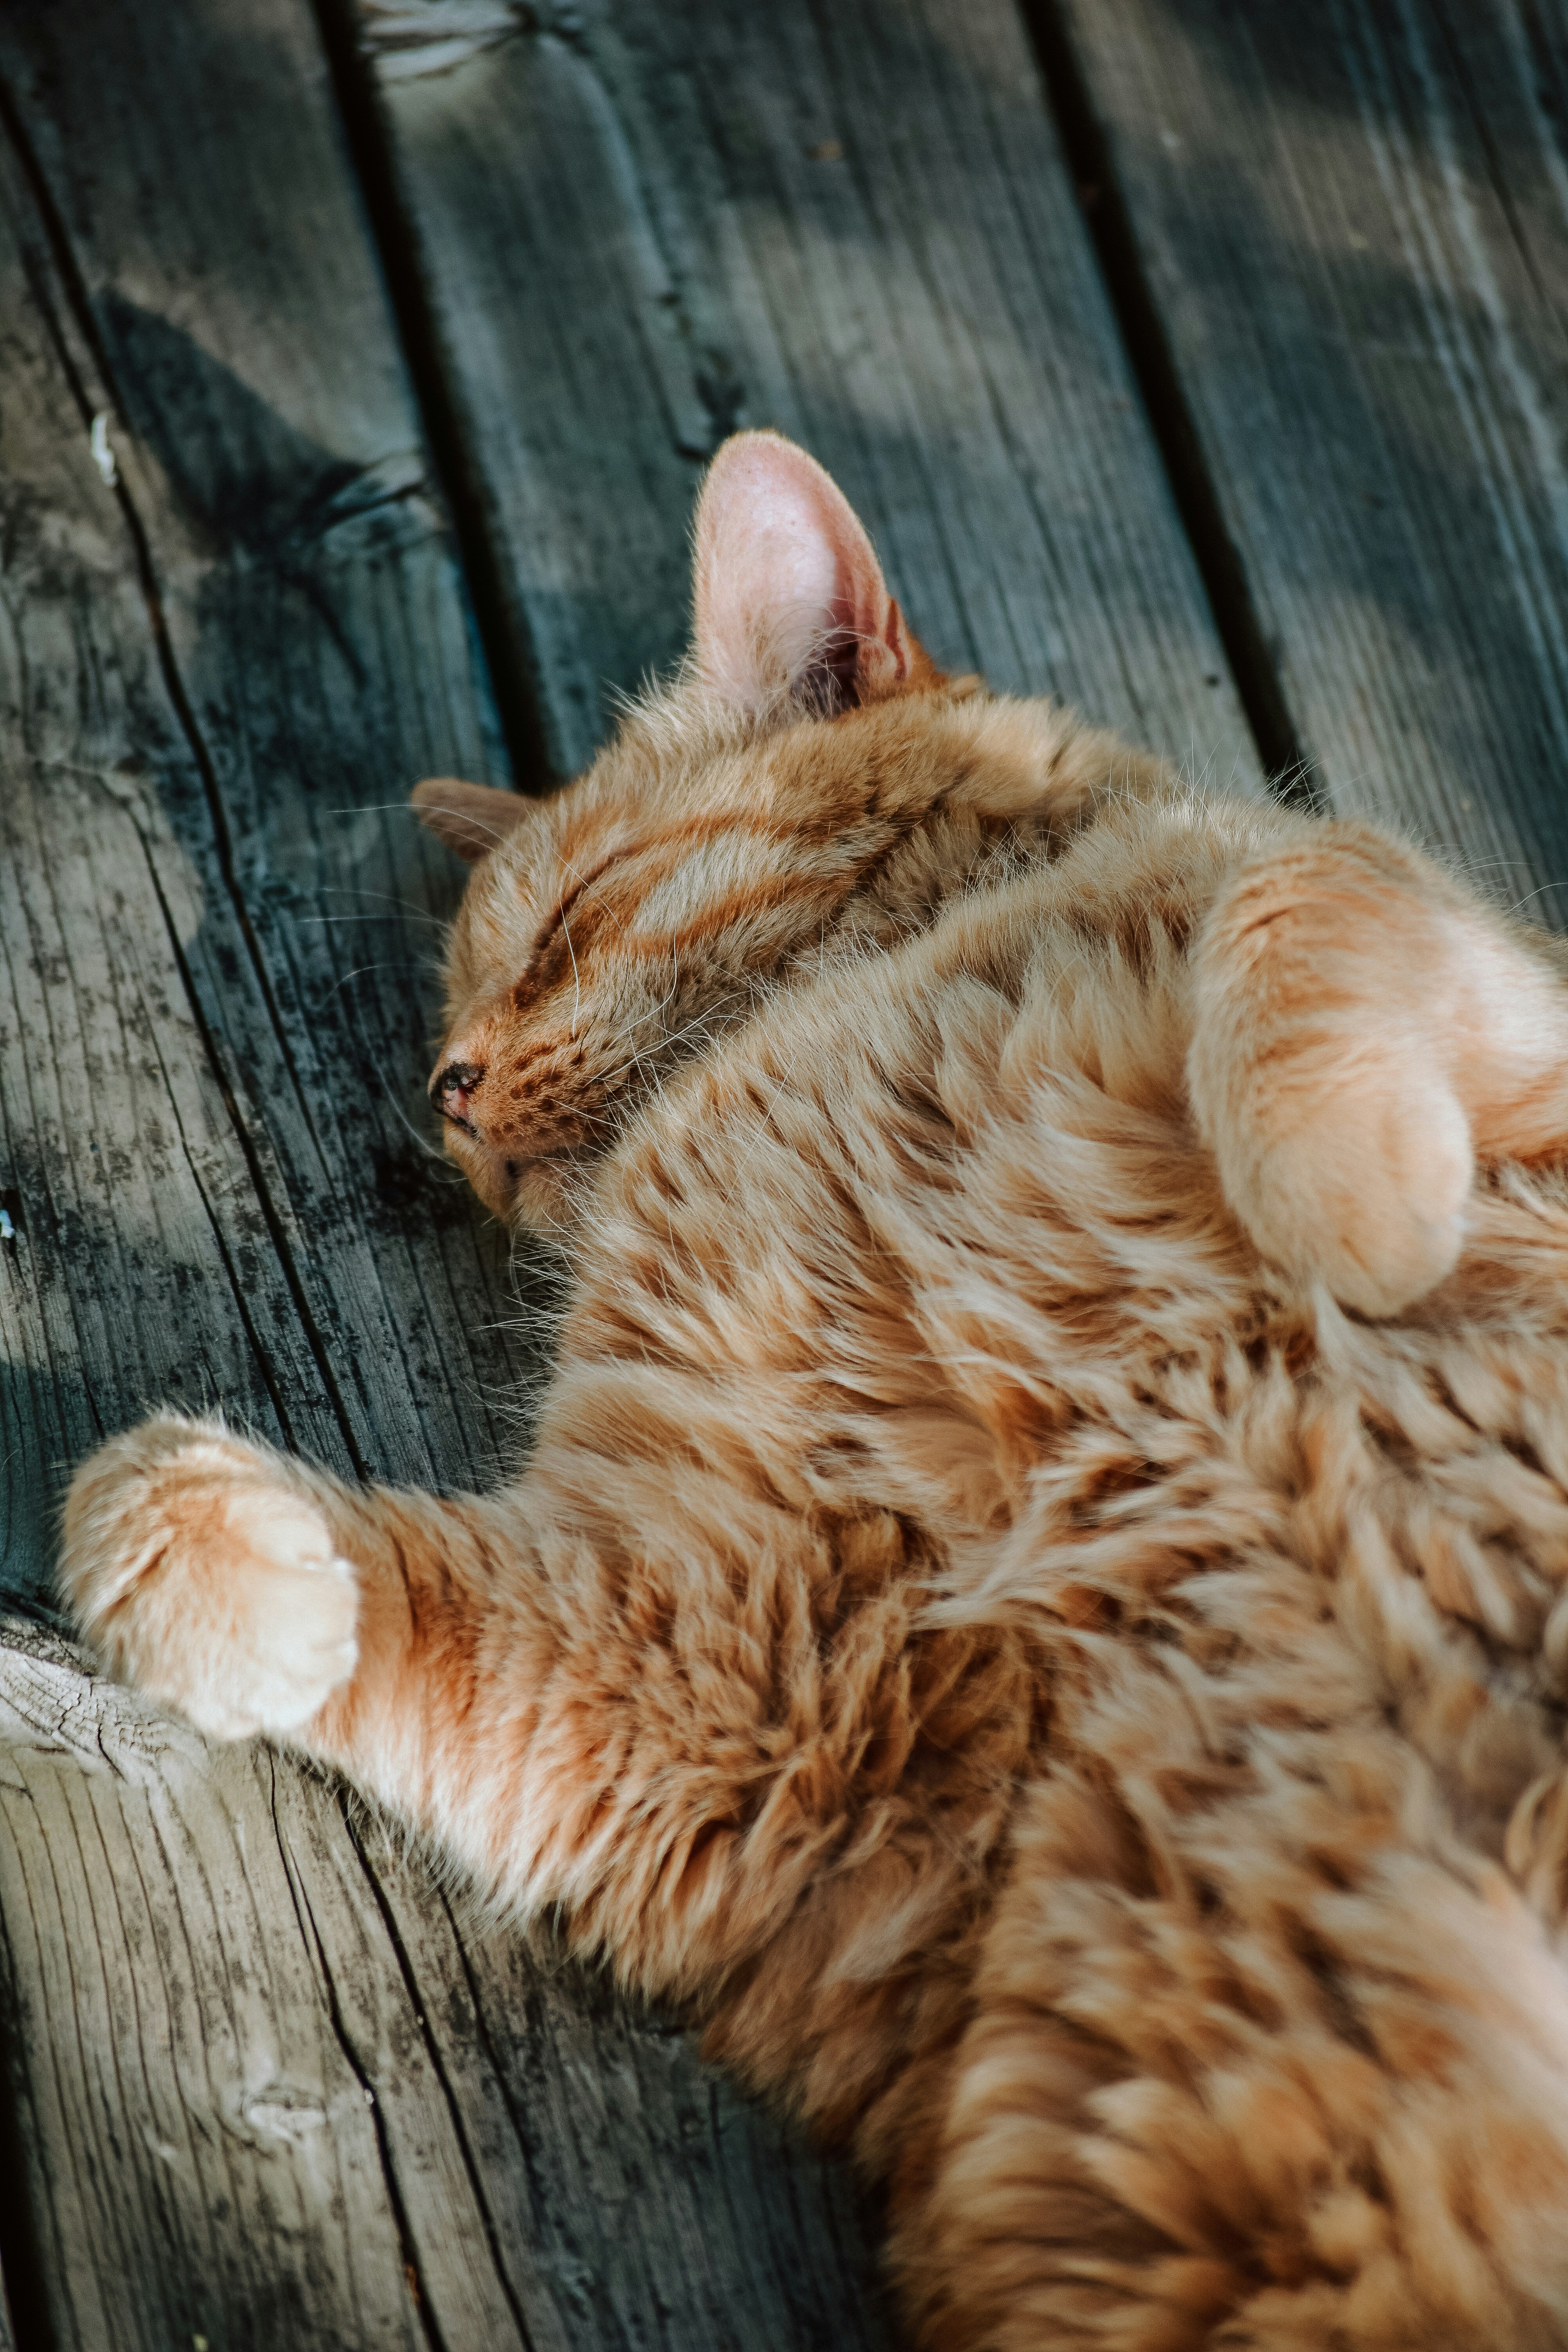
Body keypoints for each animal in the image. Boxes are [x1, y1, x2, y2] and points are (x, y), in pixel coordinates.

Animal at [70, 437, 1568, 2333]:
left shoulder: (1468, 978)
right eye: (459, 1006)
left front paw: (1352, 1212)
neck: (812, 1036)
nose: (448, 1089)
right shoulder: (737, 1659)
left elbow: (1285, 912)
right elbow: (283, 1548)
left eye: (558, 930)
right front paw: (248, 1585)